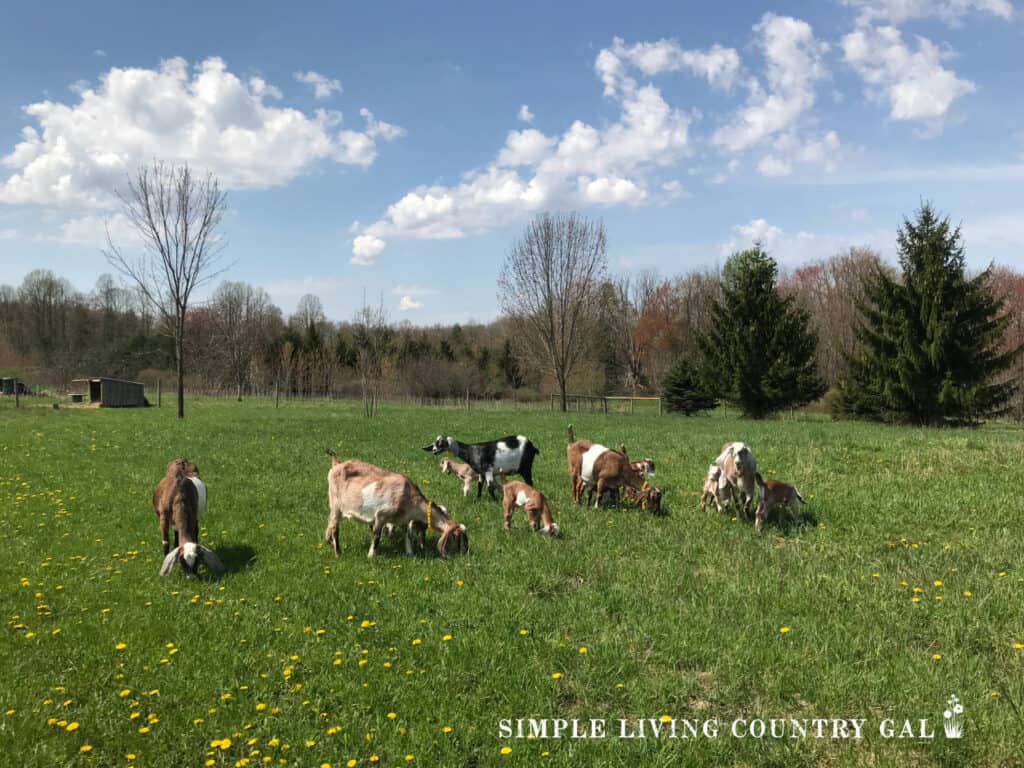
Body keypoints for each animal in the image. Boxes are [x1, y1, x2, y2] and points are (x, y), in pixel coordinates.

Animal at [323, 450, 468, 561]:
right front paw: (371, 556)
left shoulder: (403, 520)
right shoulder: (381, 516)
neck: (409, 497)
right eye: (458, 536)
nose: (465, 552)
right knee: (335, 527)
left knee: (330, 524)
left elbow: (407, 535)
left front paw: (410, 553)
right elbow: (376, 536)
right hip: (336, 505)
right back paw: (338, 553)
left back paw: (327, 542)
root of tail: (337, 464)